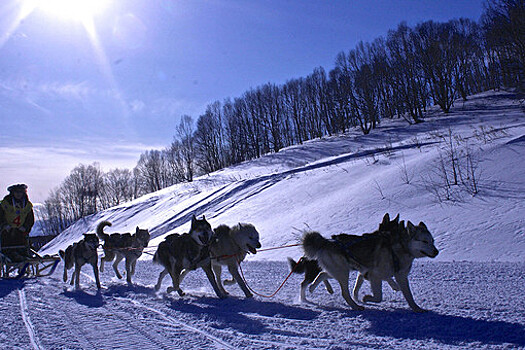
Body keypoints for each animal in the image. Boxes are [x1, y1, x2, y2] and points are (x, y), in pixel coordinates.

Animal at [300, 215, 436, 314]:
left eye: (432, 241)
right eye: (424, 241)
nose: (436, 251)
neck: (397, 247)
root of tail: (326, 242)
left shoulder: (400, 277)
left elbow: (409, 296)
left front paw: (417, 308)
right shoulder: (374, 276)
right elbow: (378, 296)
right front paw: (366, 298)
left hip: (339, 271)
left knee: (322, 274)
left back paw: (312, 288)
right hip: (343, 273)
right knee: (344, 292)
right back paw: (355, 306)